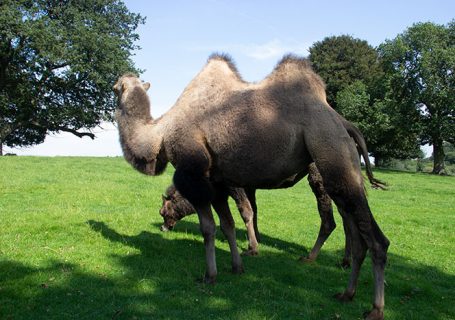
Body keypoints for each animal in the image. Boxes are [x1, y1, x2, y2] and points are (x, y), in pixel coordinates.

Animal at [114, 53, 392, 318]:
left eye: (117, 87)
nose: (163, 227)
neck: (159, 134)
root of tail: (344, 123)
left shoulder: (194, 175)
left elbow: (209, 228)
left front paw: (210, 275)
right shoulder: (218, 181)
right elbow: (228, 224)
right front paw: (238, 266)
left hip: (329, 151)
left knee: (373, 239)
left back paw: (374, 308)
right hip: (341, 167)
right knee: (356, 231)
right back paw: (346, 292)